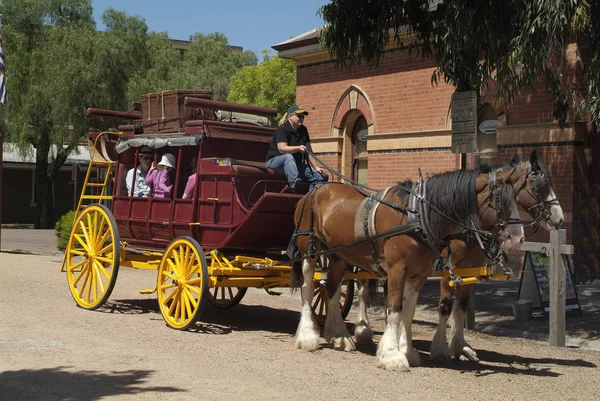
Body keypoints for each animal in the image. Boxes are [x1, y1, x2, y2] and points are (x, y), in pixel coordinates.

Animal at [292, 165, 524, 368]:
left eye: (517, 199)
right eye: (501, 201)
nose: (518, 239)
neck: (418, 215)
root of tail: (315, 191)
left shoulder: (419, 275)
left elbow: (408, 312)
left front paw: (407, 351)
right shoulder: (398, 270)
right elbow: (395, 310)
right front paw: (392, 355)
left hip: (338, 255)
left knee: (331, 289)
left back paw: (339, 335)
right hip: (309, 251)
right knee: (308, 289)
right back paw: (308, 336)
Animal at [428, 150, 564, 362]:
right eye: (541, 186)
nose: (559, 218)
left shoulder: (469, 269)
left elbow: (461, 307)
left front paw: (460, 346)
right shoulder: (447, 271)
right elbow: (445, 307)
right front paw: (440, 348)